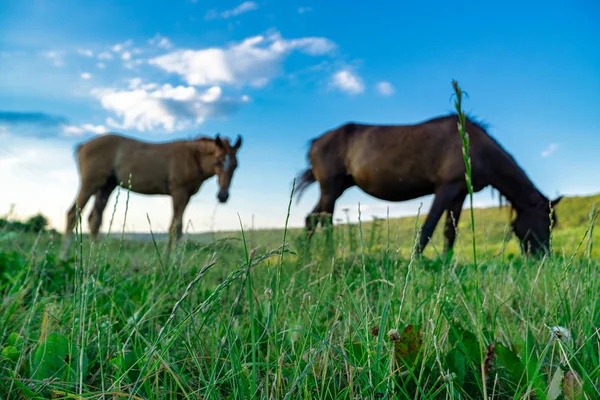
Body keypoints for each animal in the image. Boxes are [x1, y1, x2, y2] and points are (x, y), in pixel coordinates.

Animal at [59, 133, 241, 260]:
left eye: (235, 165)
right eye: (218, 161)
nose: (223, 196)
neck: (192, 157)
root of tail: (82, 146)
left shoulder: (186, 196)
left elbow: (175, 226)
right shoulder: (179, 193)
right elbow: (176, 226)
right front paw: (172, 261)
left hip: (106, 187)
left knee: (94, 219)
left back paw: (96, 255)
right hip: (91, 184)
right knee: (73, 214)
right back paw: (65, 256)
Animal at [296, 112, 564, 256]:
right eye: (545, 222)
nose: (543, 258)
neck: (477, 148)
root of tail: (315, 142)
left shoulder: (459, 194)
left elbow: (449, 232)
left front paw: (446, 263)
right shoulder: (445, 188)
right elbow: (427, 229)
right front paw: (415, 264)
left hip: (336, 188)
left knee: (316, 220)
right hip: (331, 189)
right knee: (320, 220)